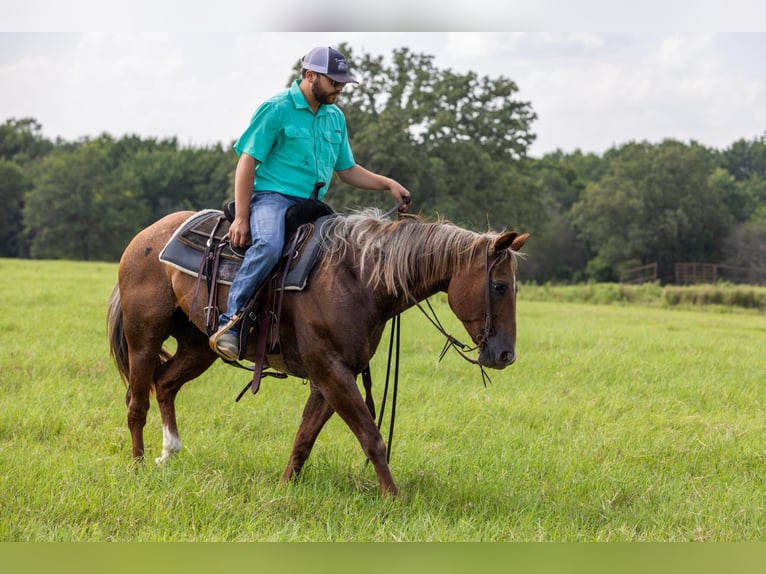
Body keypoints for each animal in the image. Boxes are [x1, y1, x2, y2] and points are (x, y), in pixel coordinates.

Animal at [107, 208, 529, 496]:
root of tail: (144, 237)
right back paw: (139, 465)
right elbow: (372, 438)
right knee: (137, 402)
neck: (359, 278)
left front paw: (284, 487)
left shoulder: (333, 377)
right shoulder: (331, 372)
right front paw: (394, 497)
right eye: (499, 287)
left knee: (165, 384)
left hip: (199, 346)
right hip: (144, 338)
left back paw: (169, 452)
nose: (505, 355)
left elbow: (304, 438)